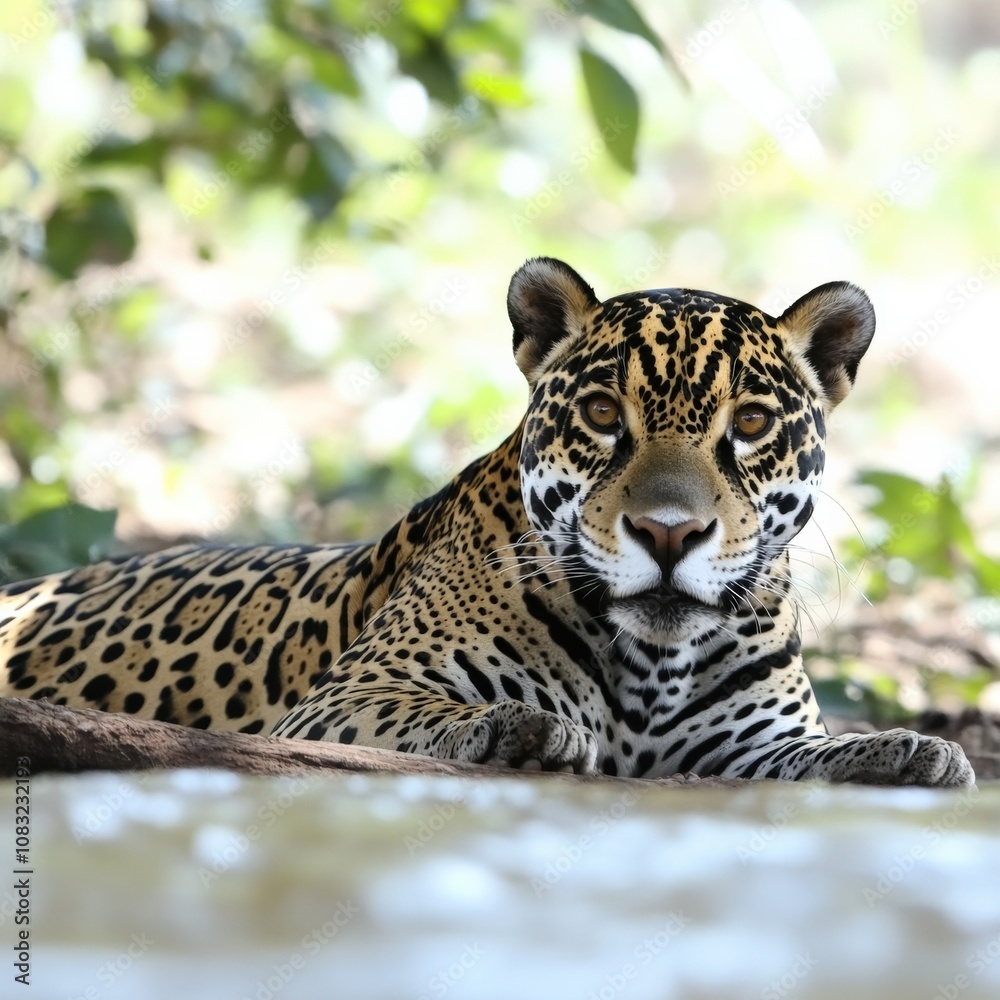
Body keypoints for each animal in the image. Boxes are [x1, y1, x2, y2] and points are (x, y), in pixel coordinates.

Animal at [0, 257, 973, 786]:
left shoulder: (751, 746)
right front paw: (527, 730)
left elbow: (819, 752)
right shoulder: (345, 700)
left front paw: (909, 750)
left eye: (753, 425)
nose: (667, 533)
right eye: (604, 416)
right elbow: (446, 713)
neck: (652, 667)